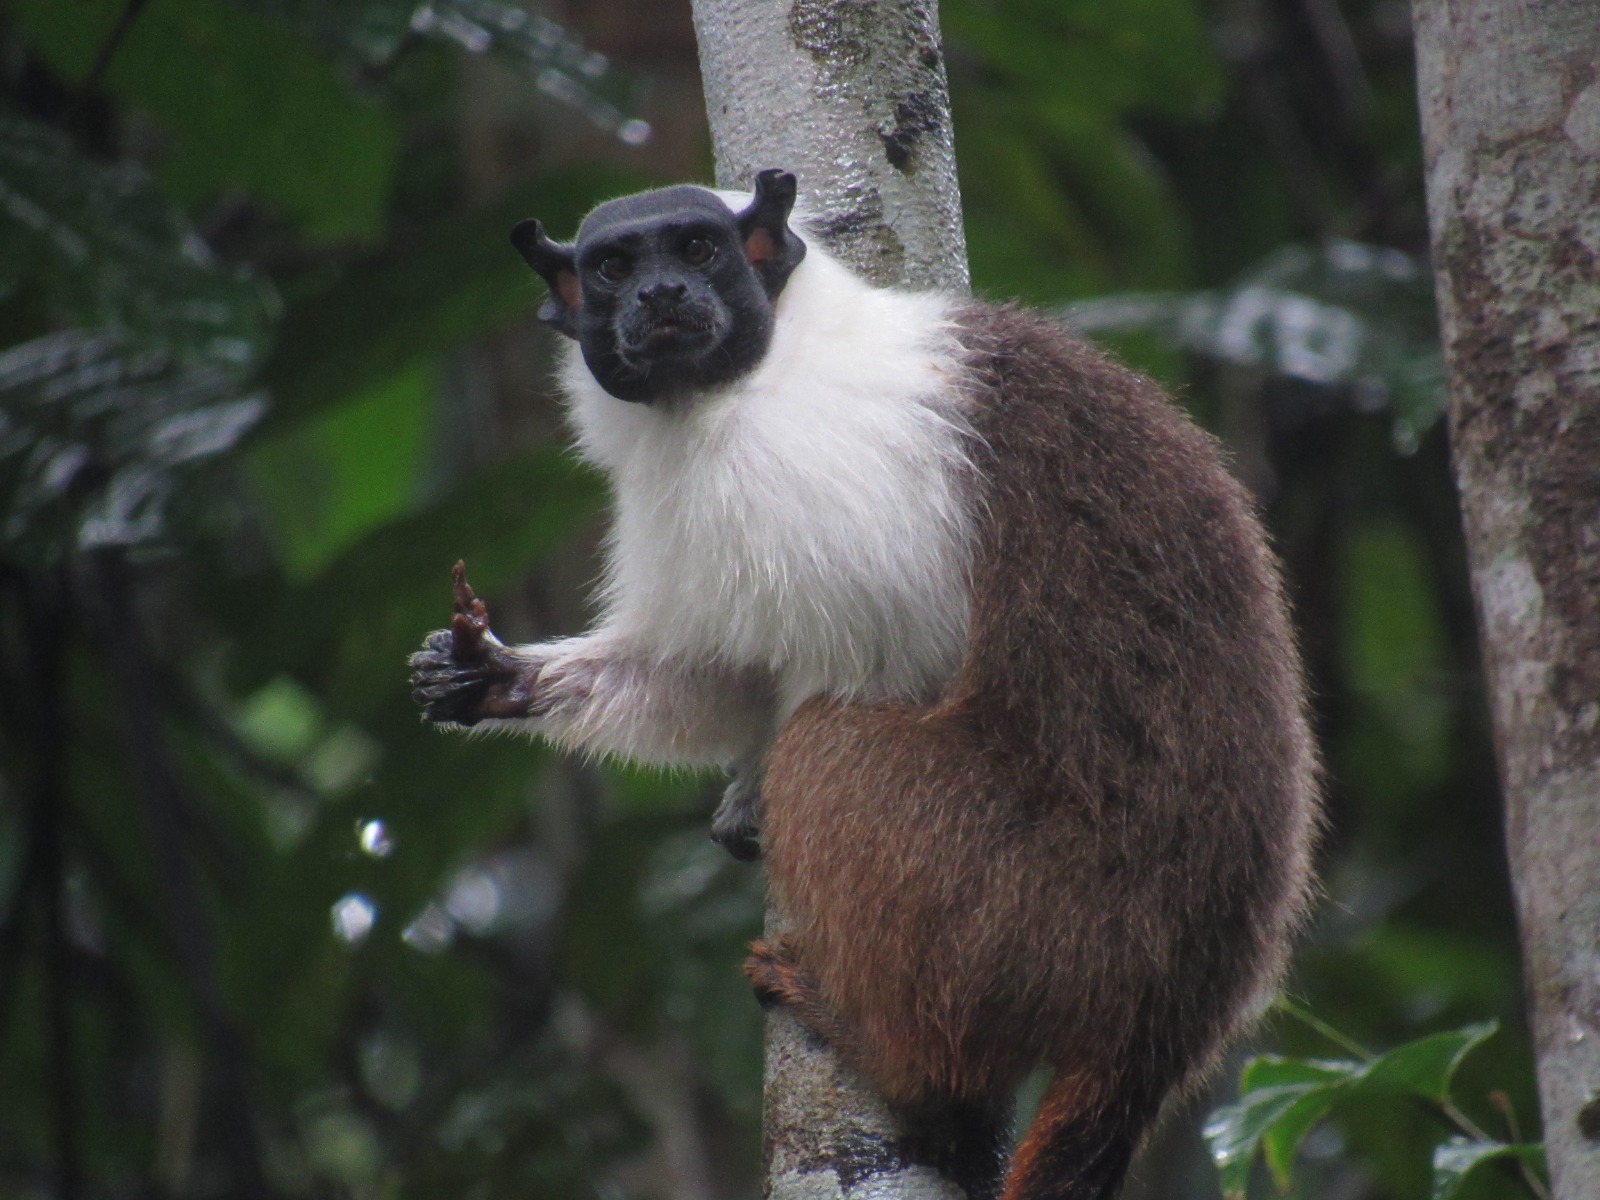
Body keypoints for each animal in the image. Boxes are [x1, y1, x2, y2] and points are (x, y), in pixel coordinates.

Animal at [409, 169, 1312, 1200]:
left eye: (699, 250)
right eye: (612, 268)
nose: (663, 297)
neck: (745, 381)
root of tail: (1168, 1018)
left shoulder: (803, 473)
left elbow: (878, 656)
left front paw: (755, 785)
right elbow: (720, 674)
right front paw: (496, 679)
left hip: (1040, 915)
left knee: (833, 745)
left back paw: (903, 1065)